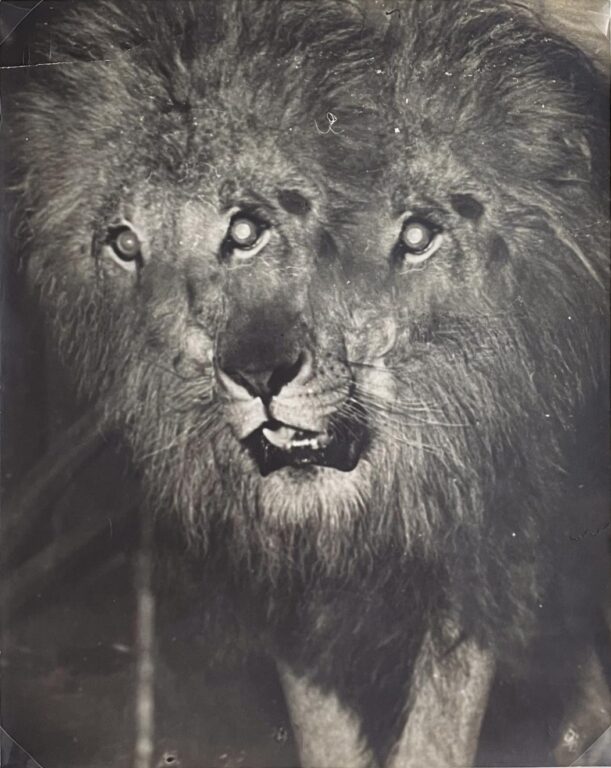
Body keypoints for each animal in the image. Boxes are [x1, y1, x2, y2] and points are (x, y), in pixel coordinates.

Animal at [8, 0, 609, 766]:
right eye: (123, 245)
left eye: (245, 229)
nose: (252, 375)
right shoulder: (282, 582)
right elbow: (321, 729)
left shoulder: (487, 541)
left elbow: (438, 729)